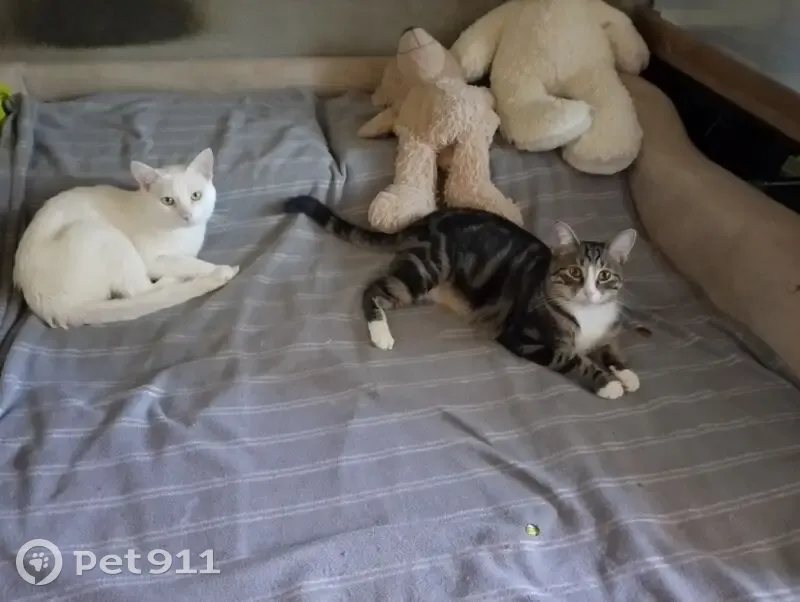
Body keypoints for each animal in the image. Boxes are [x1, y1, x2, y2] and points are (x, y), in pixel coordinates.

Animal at [13, 148, 239, 328]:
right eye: (167, 201)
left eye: (196, 196)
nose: (187, 215)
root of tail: (50, 306)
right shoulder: (151, 259)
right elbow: (189, 263)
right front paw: (211, 269)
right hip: (101, 234)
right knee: (141, 291)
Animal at [283, 195, 639, 399]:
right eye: (575, 273)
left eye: (605, 275)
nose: (589, 291)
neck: (587, 316)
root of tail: (425, 220)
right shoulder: (523, 338)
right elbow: (573, 360)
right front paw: (607, 384)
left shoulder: (607, 328)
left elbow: (610, 348)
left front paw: (626, 373)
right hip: (426, 271)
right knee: (372, 289)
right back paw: (381, 333)